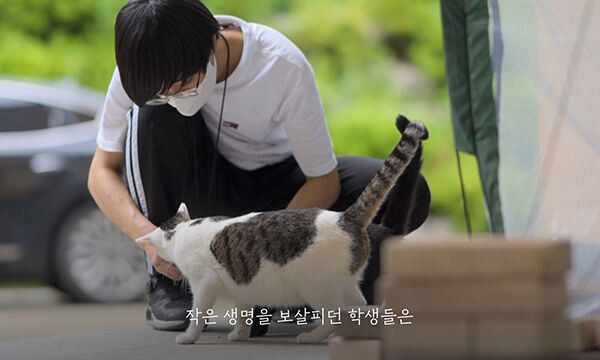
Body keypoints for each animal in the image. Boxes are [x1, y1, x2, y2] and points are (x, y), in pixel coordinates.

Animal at [137, 114, 426, 344]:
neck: (183, 230)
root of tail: (346, 217)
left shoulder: (204, 283)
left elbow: (198, 314)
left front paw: (188, 337)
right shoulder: (241, 288)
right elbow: (243, 312)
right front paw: (239, 335)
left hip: (316, 287)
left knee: (334, 316)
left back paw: (311, 337)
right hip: (348, 285)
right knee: (363, 308)